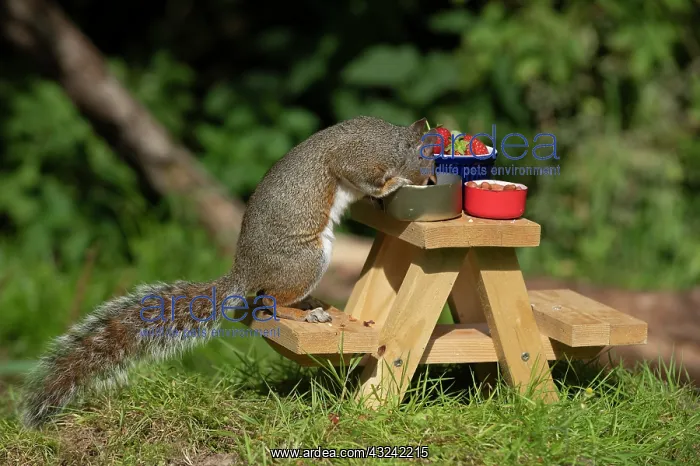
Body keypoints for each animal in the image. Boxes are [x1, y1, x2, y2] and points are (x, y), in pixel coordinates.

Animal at [19, 115, 437, 428]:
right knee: (269, 301)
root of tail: (247, 270)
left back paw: (309, 304)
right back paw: (305, 313)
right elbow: (366, 177)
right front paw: (392, 185)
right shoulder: (357, 156)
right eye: (430, 164)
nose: (434, 183)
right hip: (307, 258)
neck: (393, 143)